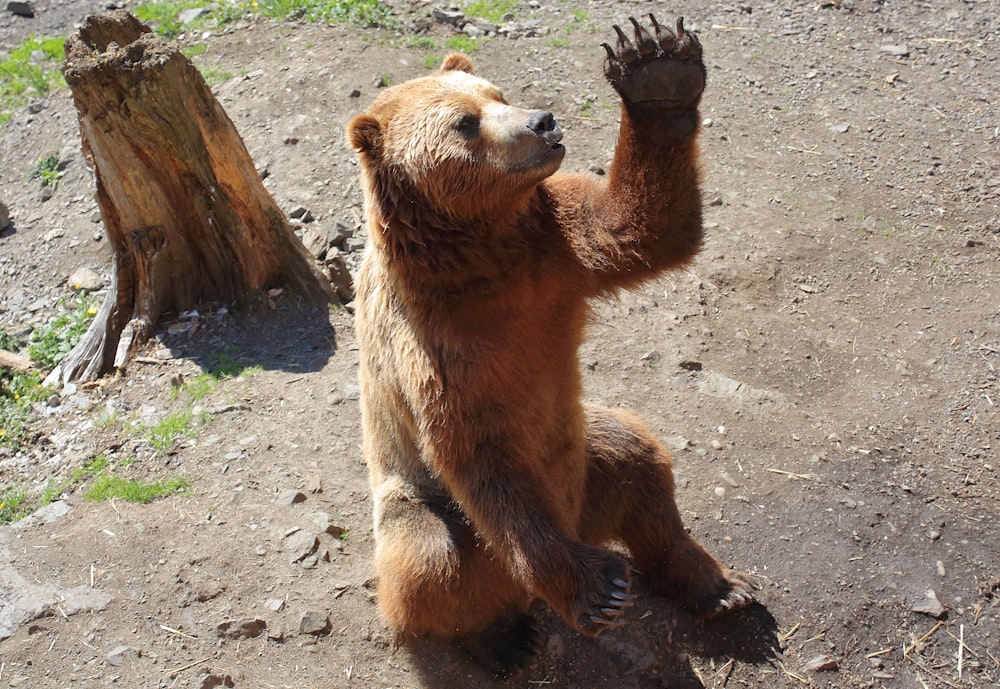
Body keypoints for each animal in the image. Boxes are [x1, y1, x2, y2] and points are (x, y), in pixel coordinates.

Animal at [348, 13, 752, 676]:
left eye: (498, 95)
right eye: (465, 122)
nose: (543, 121)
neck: (482, 263)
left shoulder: (555, 252)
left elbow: (643, 227)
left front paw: (656, 69)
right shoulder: (433, 350)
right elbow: (483, 456)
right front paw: (595, 589)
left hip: (585, 455)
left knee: (641, 464)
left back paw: (716, 586)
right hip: (423, 503)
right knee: (430, 558)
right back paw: (501, 639)